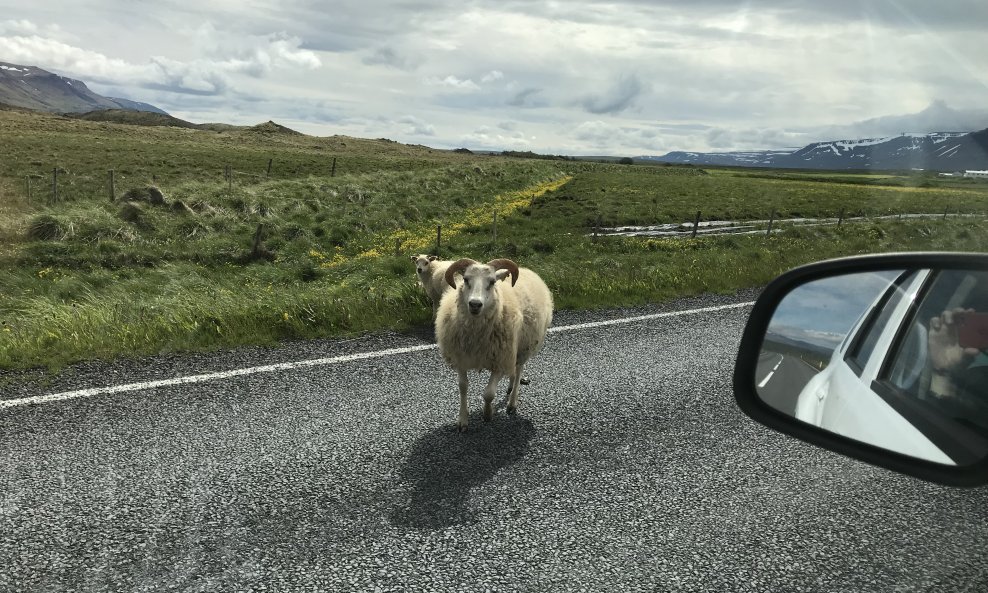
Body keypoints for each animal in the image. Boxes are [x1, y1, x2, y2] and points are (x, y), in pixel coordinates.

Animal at [434, 256, 552, 430]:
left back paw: (512, 403)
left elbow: (488, 393)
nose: (475, 304)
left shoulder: (500, 361)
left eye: (492, 282)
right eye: (466, 279)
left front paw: (487, 414)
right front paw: (462, 420)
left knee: (518, 371)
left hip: (523, 348)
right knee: (514, 370)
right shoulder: (461, 358)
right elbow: (463, 387)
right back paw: (510, 387)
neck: (476, 335)